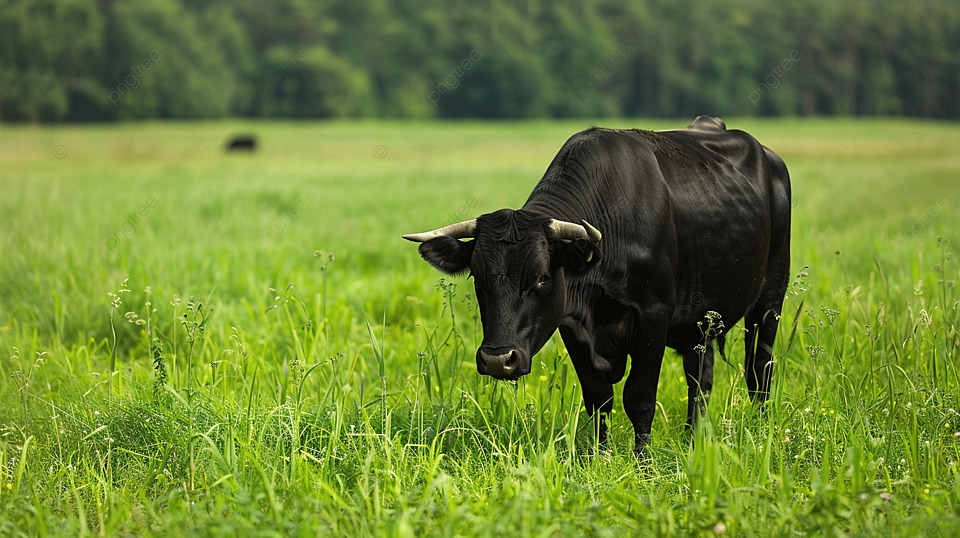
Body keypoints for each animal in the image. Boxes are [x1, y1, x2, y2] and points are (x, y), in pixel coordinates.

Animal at [403, 116, 791, 455]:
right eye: (477, 278)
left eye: (542, 277)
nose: (498, 360)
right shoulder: (571, 326)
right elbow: (598, 398)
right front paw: (599, 458)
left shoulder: (653, 316)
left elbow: (639, 398)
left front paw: (643, 464)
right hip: (702, 321)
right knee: (700, 381)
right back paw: (694, 440)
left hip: (771, 297)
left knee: (759, 372)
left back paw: (759, 433)